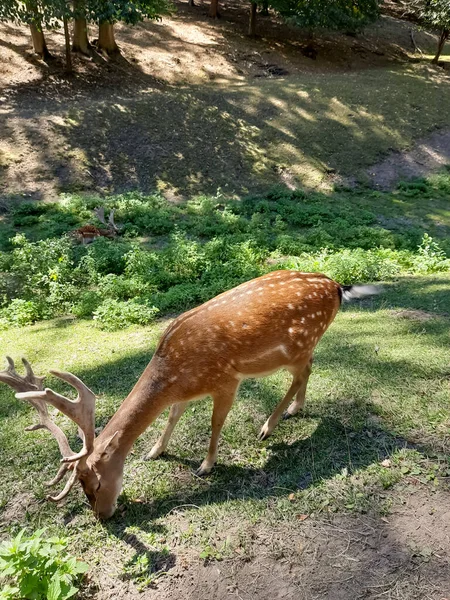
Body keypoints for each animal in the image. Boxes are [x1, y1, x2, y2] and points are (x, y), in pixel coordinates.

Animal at [0, 270, 376, 516]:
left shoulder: (226, 380)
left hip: (299, 346)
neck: (175, 375)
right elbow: (172, 416)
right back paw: (294, 410)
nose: (102, 516)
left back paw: (268, 426)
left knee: (302, 373)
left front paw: (205, 466)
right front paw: (154, 451)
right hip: (302, 348)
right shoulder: (183, 393)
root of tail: (338, 286)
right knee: (307, 370)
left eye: (94, 484)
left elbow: (215, 423)